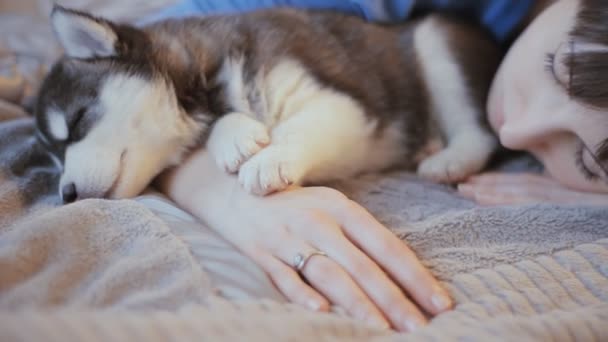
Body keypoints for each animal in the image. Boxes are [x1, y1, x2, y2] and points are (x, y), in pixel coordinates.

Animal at [33, 6, 502, 203]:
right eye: (54, 161)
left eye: (77, 120)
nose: (67, 195)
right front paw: (234, 135)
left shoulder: (339, 102)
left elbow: (300, 127)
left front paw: (269, 159)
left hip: (437, 43)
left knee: (481, 131)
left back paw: (450, 159)